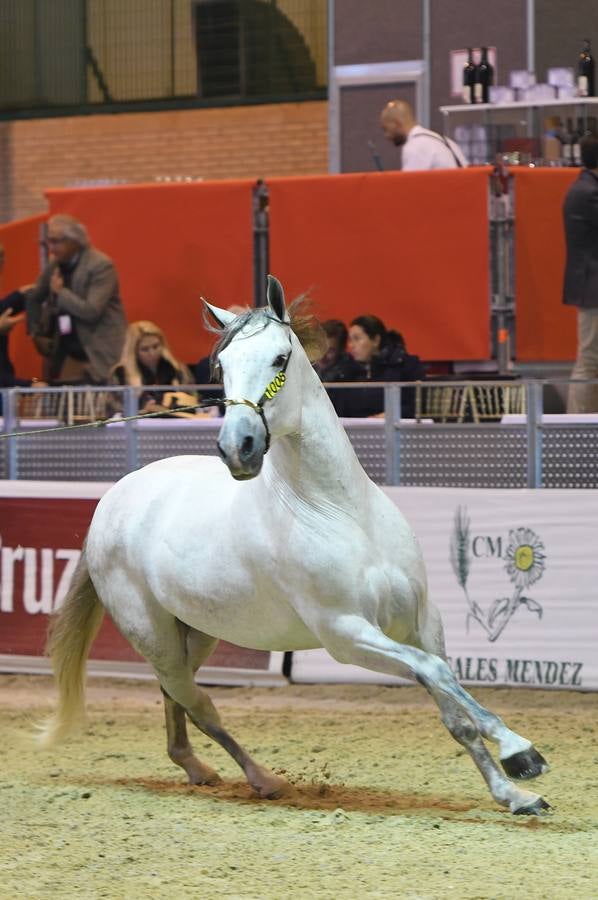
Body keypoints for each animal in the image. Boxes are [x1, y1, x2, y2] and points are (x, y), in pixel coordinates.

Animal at [43, 276, 552, 816]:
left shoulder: (419, 622)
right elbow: (435, 672)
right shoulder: (346, 634)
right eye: (222, 366)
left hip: (194, 633)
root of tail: (110, 503)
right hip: (154, 636)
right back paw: (262, 778)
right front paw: (521, 752)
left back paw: (196, 768)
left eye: (280, 358)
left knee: (176, 695)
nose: (237, 448)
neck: (341, 514)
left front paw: (514, 792)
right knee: (197, 703)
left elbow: (452, 707)